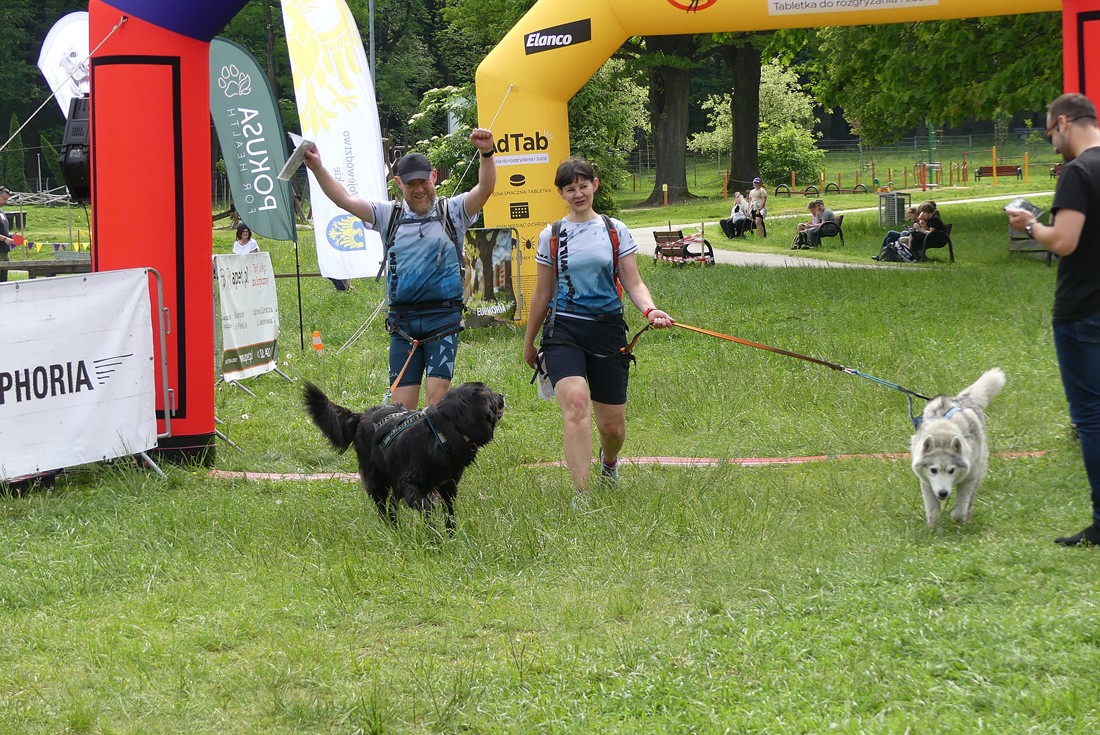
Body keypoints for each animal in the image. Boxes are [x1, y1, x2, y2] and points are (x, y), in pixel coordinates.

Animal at [303, 381, 505, 532]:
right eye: (490, 393)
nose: (502, 395)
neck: (441, 433)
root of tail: (361, 416)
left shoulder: (448, 486)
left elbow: (449, 514)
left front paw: (451, 538)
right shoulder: (412, 486)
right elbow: (428, 510)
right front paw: (436, 542)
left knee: (392, 504)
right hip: (378, 480)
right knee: (383, 507)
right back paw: (389, 530)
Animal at [910, 368, 1006, 527]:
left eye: (952, 470)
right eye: (933, 470)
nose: (943, 493)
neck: (942, 431)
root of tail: (963, 398)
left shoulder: (969, 478)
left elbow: (959, 512)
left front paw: (959, 521)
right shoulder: (926, 483)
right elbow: (932, 512)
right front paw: (933, 529)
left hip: (978, 470)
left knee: (970, 502)